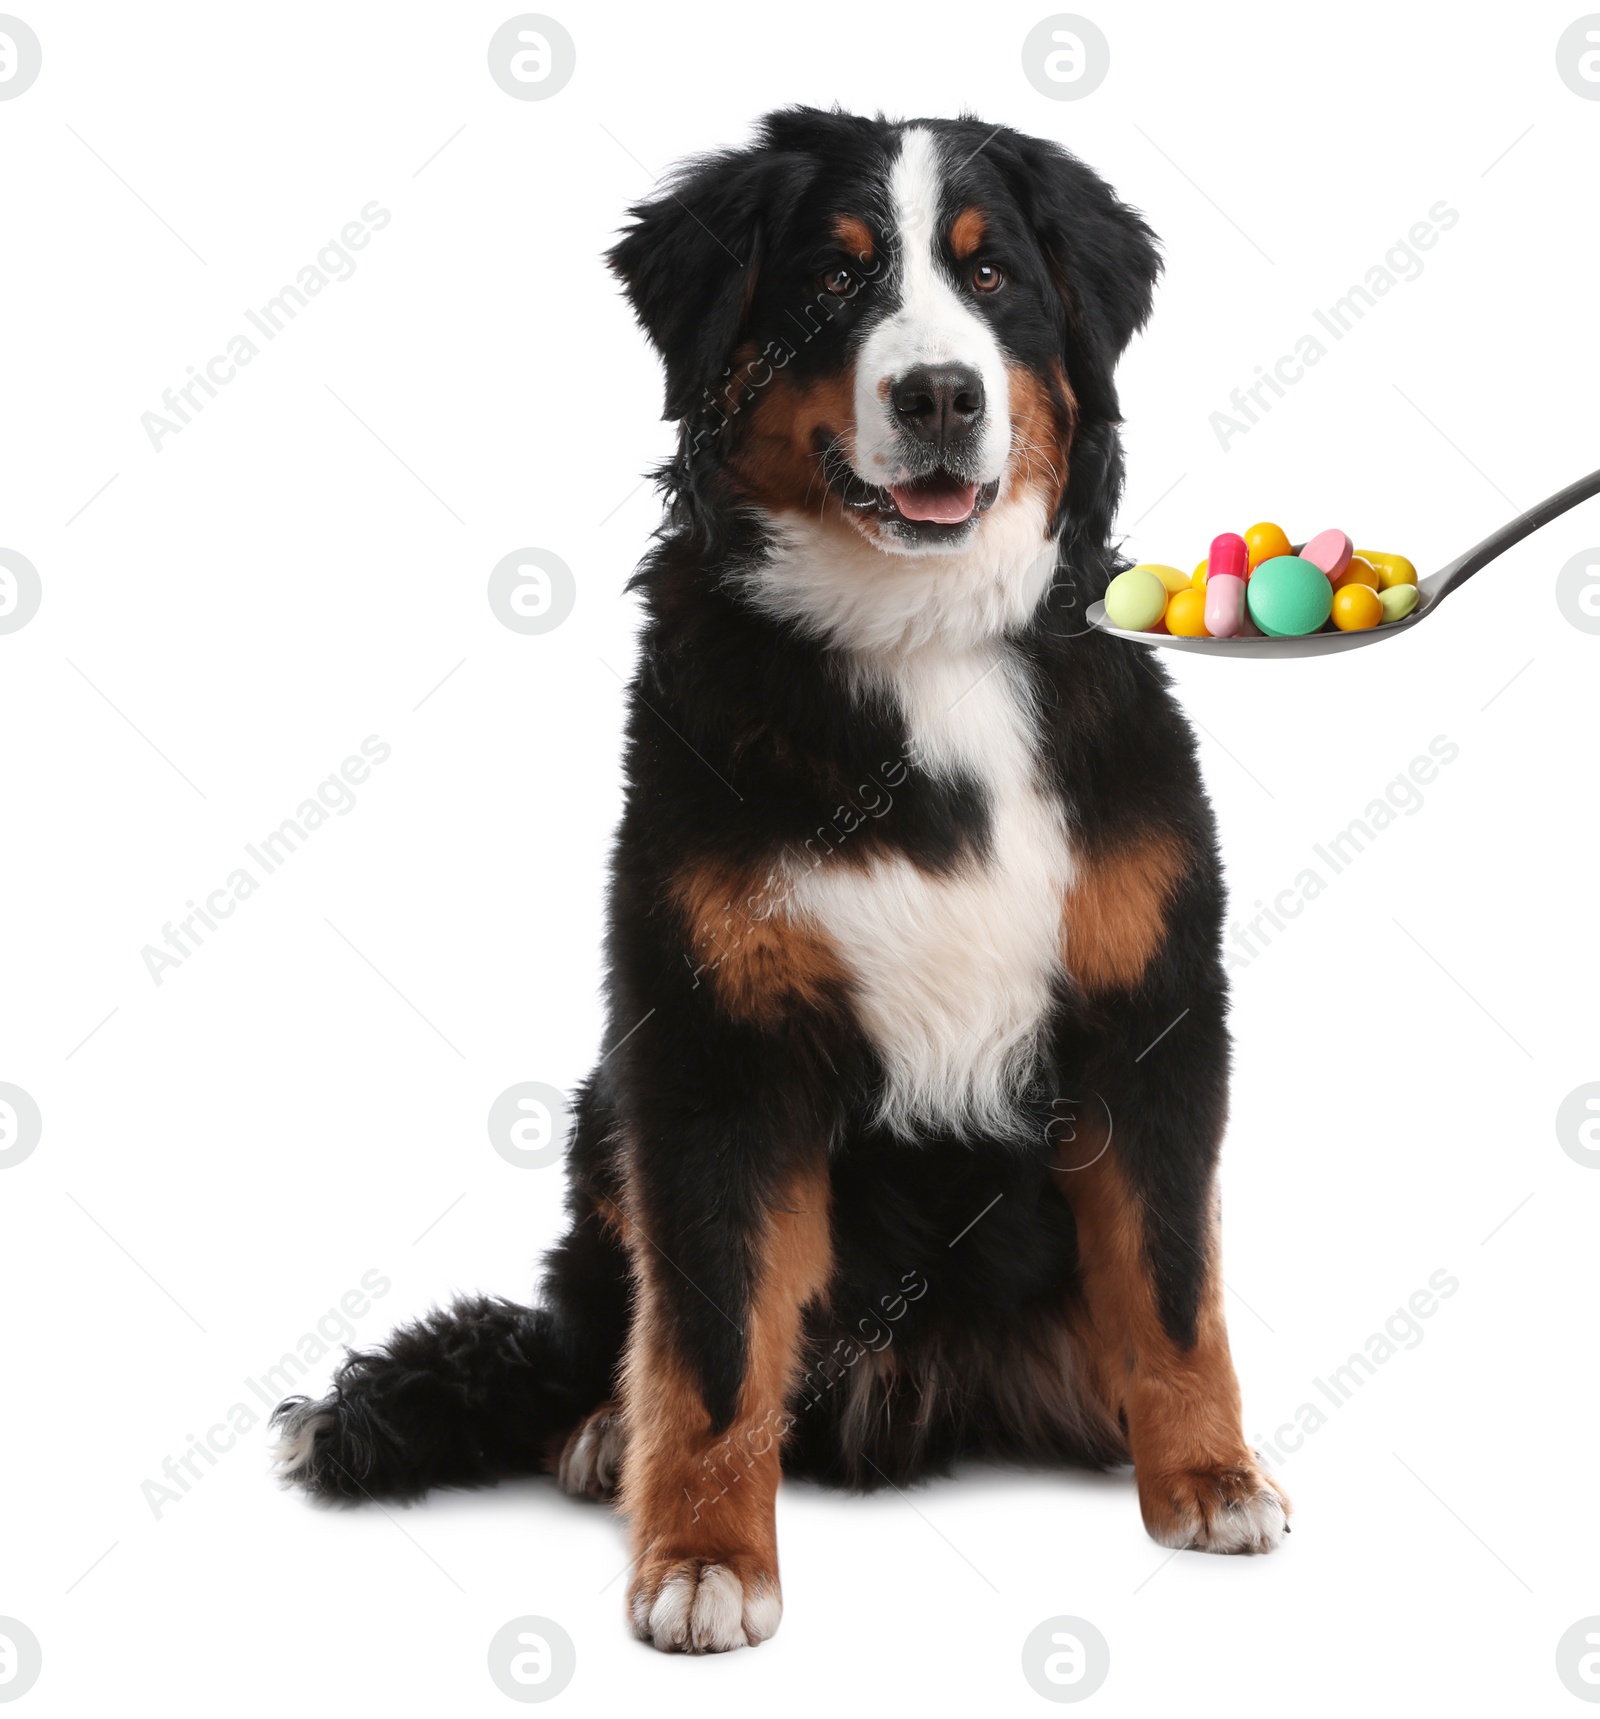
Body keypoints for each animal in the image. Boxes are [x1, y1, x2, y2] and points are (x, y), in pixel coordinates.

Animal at [274, 103, 1292, 1650]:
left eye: (991, 277)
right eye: (834, 279)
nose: (937, 394)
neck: (923, 647)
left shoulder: (1149, 1006)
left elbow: (1173, 1289)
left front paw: (1211, 1477)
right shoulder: (713, 1042)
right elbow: (708, 1340)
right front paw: (700, 1555)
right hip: (604, 1112)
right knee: (612, 1330)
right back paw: (602, 1433)